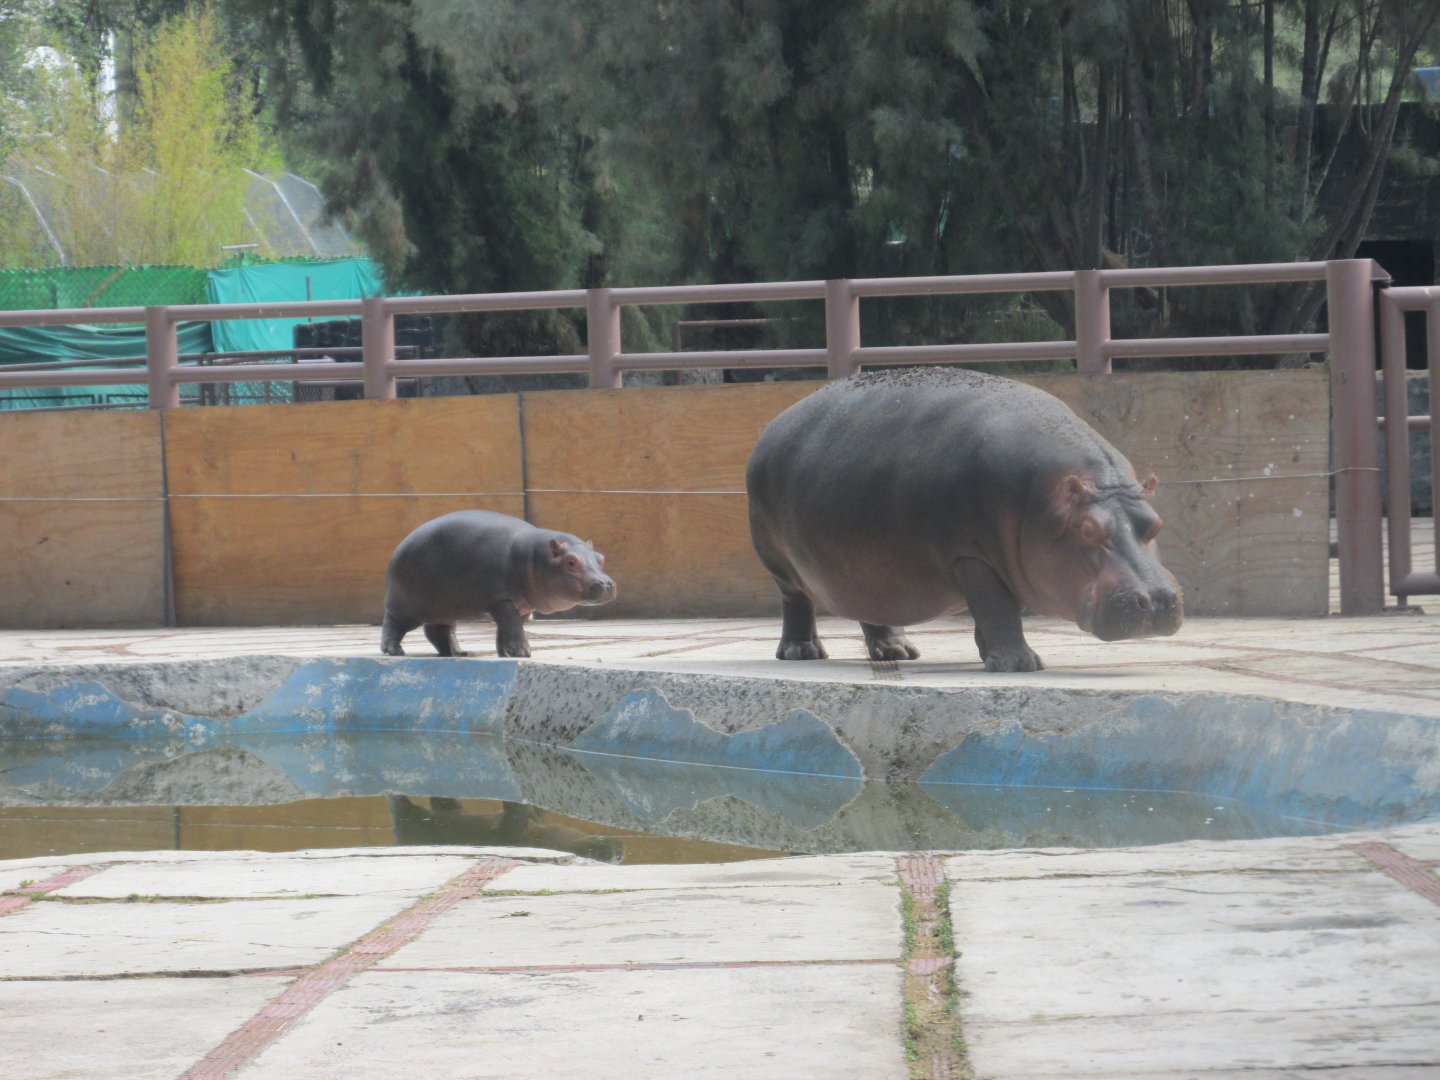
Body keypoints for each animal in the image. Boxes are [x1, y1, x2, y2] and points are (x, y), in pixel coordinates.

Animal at [380, 510, 616, 658]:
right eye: (571, 562)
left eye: (601, 558)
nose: (606, 584)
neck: (532, 557)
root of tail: (400, 545)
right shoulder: (499, 598)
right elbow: (512, 625)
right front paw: (523, 653)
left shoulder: (521, 605)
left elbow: (508, 627)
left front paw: (505, 653)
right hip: (405, 605)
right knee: (393, 624)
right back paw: (393, 651)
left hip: (444, 608)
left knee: (439, 631)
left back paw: (459, 652)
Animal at [745, 368, 1182, 671]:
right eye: (1088, 530)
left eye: (1156, 524)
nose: (1159, 599)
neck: (1047, 501)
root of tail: (773, 425)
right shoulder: (972, 557)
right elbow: (997, 609)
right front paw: (1019, 666)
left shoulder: (1008, 560)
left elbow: (995, 612)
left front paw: (991, 656)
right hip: (781, 566)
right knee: (797, 602)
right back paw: (802, 653)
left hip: (863, 568)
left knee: (871, 606)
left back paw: (897, 651)